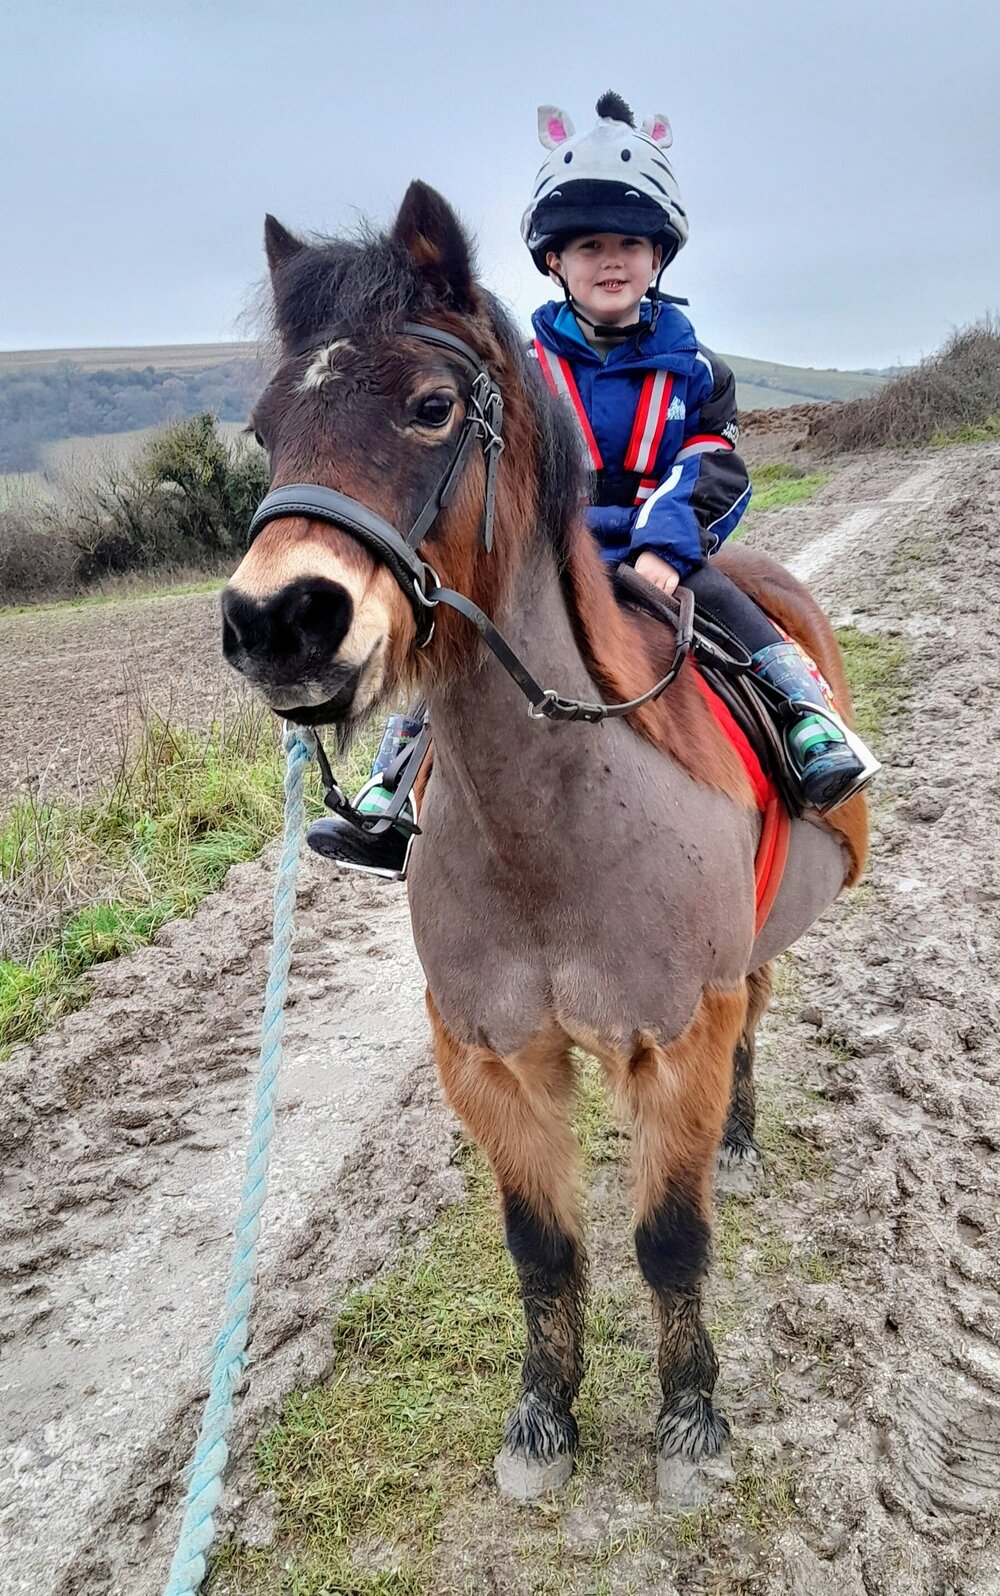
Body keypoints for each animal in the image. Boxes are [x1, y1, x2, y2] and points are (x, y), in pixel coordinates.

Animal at [220, 181, 868, 1502]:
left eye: (429, 407)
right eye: (264, 433)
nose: (276, 621)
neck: (548, 829)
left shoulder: (675, 1036)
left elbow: (669, 1243)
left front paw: (689, 1422)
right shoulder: (490, 1056)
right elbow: (541, 1249)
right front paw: (541, 1419)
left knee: (753, 1023)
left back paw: (736, 1142)